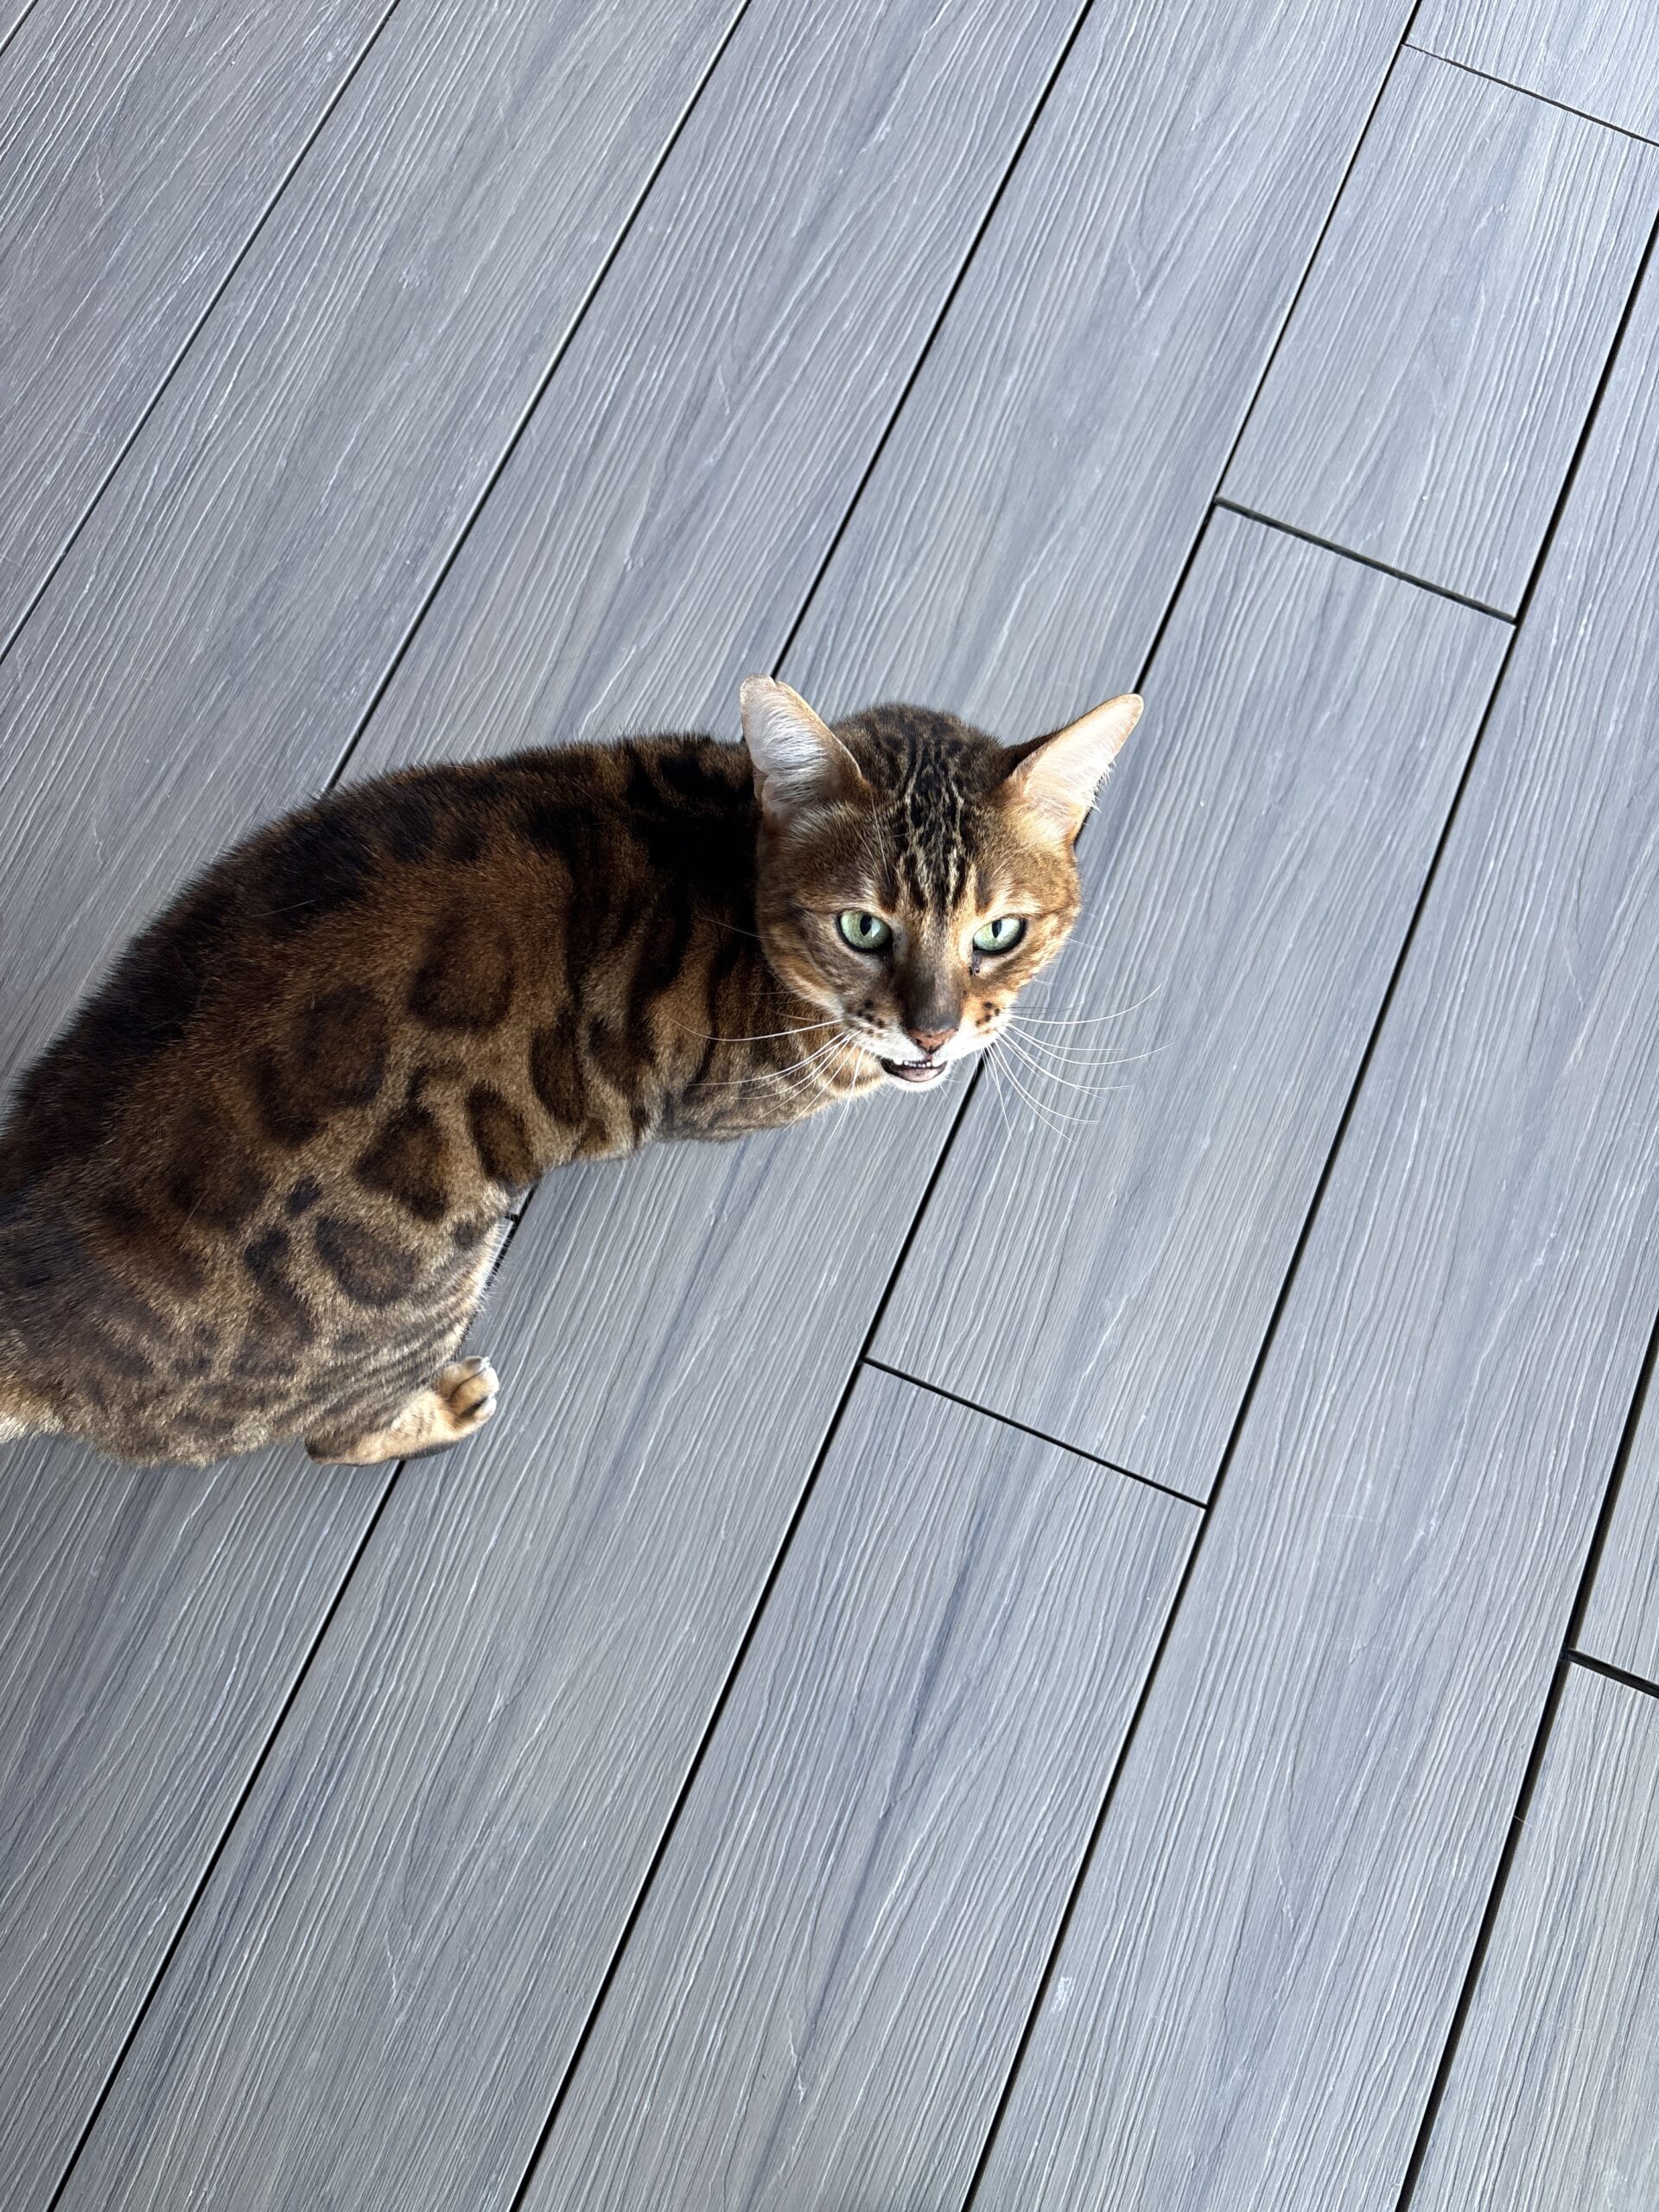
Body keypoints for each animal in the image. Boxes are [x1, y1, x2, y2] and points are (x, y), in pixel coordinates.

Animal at [0, 677, 1139, 1468]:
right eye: (863, 927)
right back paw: (443, 1406)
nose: (935, 1033)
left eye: (999, 931)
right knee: (333, 1434)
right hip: (420, 1287)